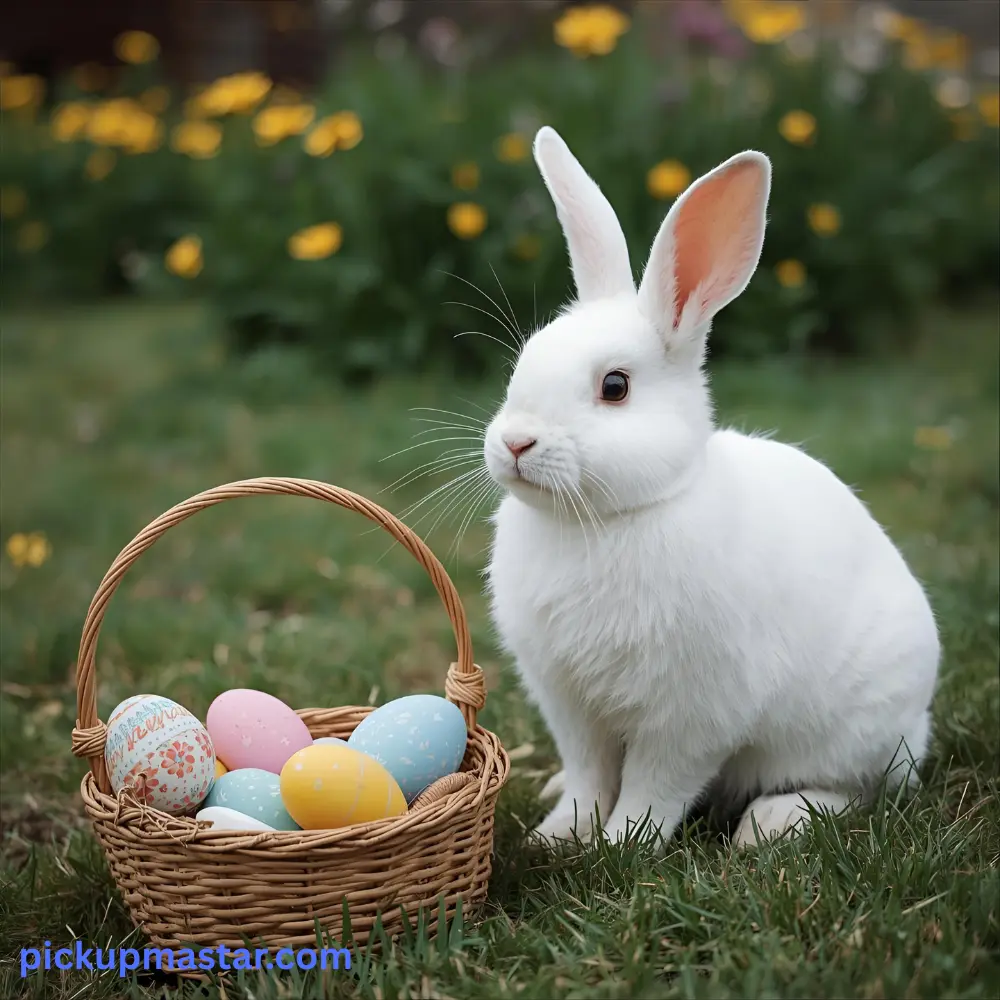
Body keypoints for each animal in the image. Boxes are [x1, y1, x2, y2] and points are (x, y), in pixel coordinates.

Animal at [481, 127, 939, 849]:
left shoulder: (693, 714)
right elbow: (587, 775)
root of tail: (921, 728)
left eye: (615, 387)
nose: (515, 443)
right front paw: (557, 835)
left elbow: (655, 787)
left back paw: (771, 824)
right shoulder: (569, 704)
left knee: (861, 790)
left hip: (850, 733)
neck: (607, 519)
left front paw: (623, 845)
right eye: (523, 363)